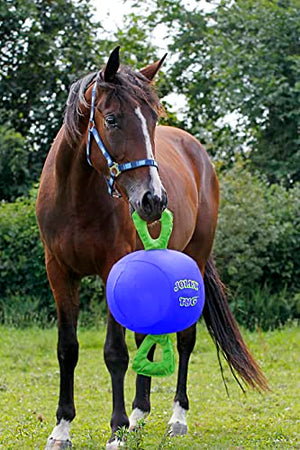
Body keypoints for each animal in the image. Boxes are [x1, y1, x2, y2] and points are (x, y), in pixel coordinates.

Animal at [36, 47, 268, 448]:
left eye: (153, 121)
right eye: (112, 119)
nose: (154, 200)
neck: (76, 198)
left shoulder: (111, 269)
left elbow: (115, 352)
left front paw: (115, 431)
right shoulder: (59, 272)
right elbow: (67, 349)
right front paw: (62, 428)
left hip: (194, 259)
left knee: (185, 339)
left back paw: (176, 418)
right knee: (149, 333)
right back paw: (139, 415)